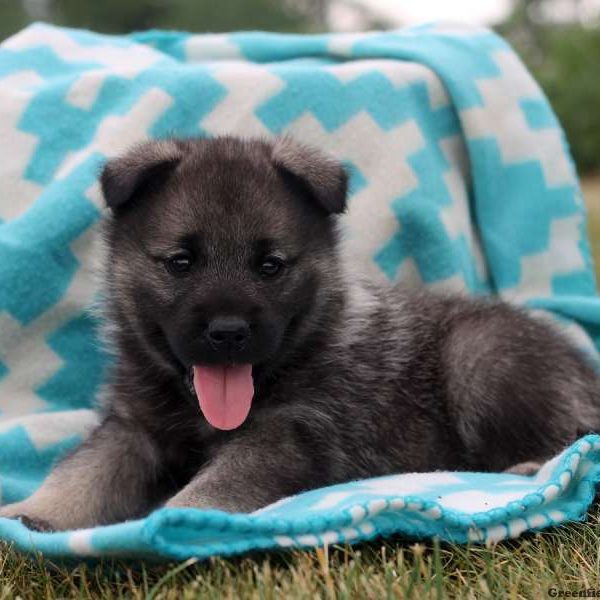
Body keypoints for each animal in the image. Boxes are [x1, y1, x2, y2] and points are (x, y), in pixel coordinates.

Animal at [1, 136, 600, 528]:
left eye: (270, 266)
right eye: (180, 263)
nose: (228, 332)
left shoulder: (285, 436)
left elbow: (213, 487)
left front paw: (171, 523)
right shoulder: (133, 429)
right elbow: (82, 471)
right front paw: (33, 514)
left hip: (480, 357)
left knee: (569, 430)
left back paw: (533, 468)